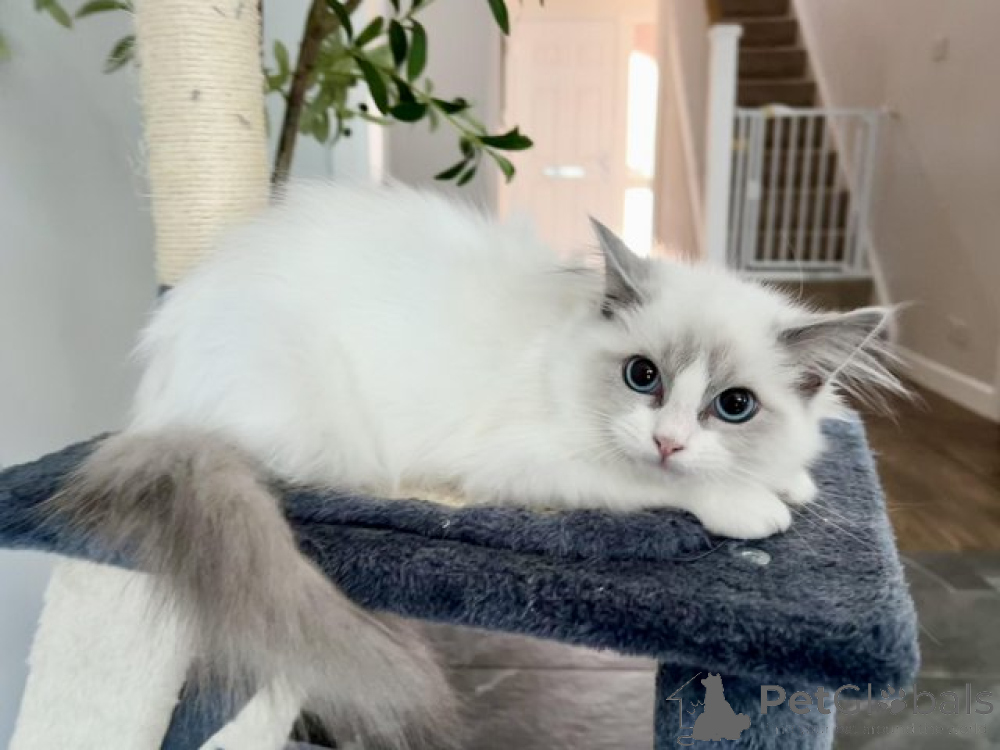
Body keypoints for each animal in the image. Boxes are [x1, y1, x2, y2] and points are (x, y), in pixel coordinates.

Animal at [51, 182, 900, 747]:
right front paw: (749, 503)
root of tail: (154, 403)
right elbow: (651, 486)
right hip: (318, 421)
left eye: (734, 406)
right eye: (642, 377)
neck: (560, 339)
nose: (669, 440)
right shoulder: (535, 459)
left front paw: (788, 478)